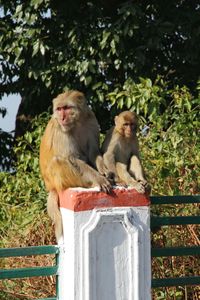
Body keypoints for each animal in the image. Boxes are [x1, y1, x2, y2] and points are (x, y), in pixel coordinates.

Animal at [39, 90, 111, 243]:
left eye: (66, 108)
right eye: (59, 109)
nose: (62, 117)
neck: (77, 122)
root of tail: (51, 187)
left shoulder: (91, 120)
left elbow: (93, 152)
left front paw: (104, 171)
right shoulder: (61, 130)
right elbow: (72, 158)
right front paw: (99, 179)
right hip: (59, 181)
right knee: (58, 161)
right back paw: (90, 184)